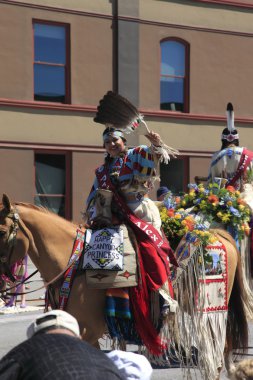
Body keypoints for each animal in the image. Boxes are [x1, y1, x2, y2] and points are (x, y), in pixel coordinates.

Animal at [0, 194, 249, 378]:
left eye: (2, 232)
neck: (74, 259)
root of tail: (218, 234)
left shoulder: (89, 330)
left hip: (210, 309)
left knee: (216, 353)